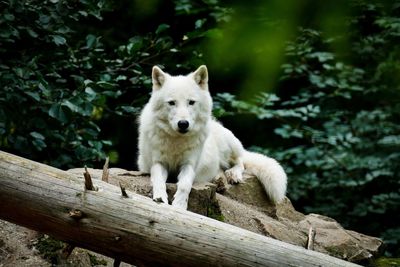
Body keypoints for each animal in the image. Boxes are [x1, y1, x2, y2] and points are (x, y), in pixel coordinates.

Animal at [138, 66, 288, 210]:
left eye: (191, 102)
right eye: (171, 103)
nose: (183, 124)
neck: (177, 141)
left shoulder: (190, 164)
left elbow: (185, 185)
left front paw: (179, 205)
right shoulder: (158, 162)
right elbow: (158, 181)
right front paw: (160, 198)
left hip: (229, 145)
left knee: (241, 162)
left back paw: (232, 175)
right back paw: (218, 179)